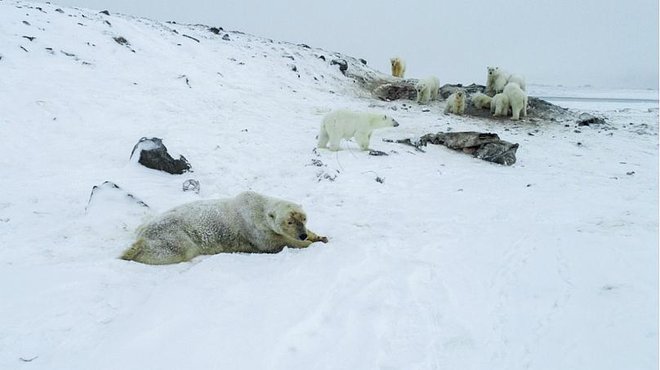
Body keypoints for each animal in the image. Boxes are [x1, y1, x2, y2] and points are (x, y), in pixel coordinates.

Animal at [121, 192, 328, 264]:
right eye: (289, 222)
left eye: (304, 218)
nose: (302, 235)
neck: (258, 207)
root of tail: (143, 231)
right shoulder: (254, 228)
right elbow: (275, 243)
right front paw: (308, 244)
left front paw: (319, 236)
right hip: (173, 234)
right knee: (174, 250)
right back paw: (131, 252)